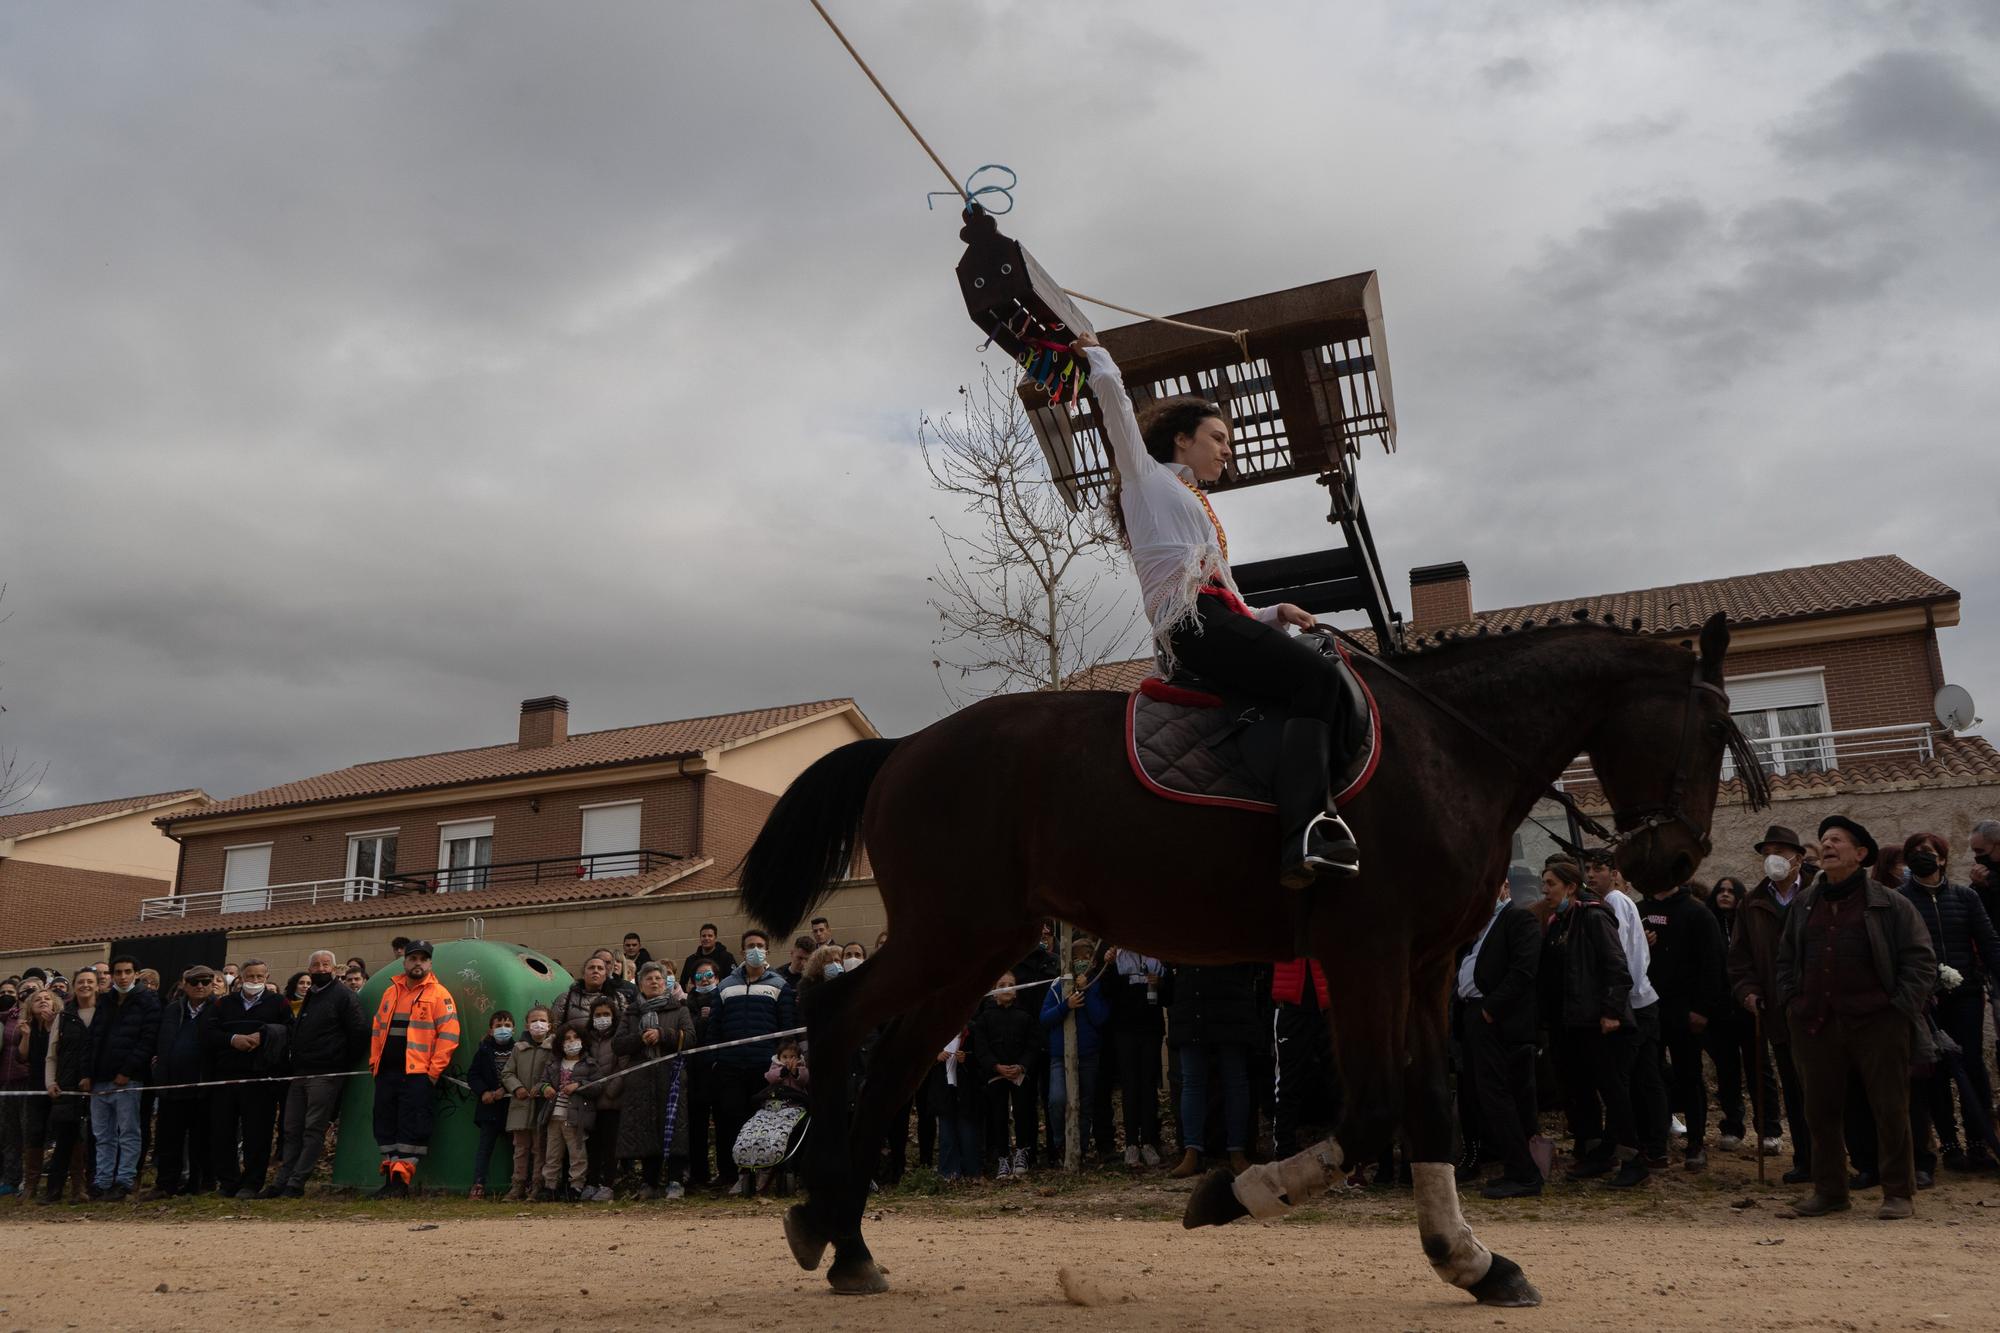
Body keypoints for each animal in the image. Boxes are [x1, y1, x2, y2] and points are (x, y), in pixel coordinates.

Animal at [740, 608, 1768, 1296]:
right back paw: (828, 1219)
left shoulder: (1430, 964)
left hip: (976, 947)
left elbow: (1431, 1104)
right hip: (948, 932)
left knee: (896, 1062)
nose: (1675, 863)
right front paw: (1228, 1193)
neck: (1448, 749)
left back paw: (844, 1239)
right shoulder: (1368, 950)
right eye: (1716, 729)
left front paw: (1472, 1259)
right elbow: (1372, 1113)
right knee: (838, 1016)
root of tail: (907, 745)